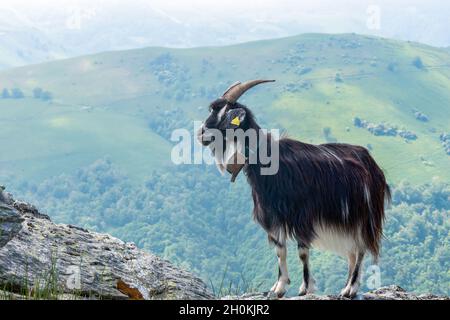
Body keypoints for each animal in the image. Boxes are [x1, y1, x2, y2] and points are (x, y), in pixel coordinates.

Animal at [197, 79, 390, 298]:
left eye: (224, 115)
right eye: (213, 110)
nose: (201, 134)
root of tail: (373, 166)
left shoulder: (302, 216)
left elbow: (302, 252)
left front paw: (305, 288)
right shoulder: (273, 216)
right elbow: (280, 250)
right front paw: (279, 287)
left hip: (363, 216)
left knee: (360, 249)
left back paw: (351, 288)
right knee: (352, 252)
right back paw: (345, 287)